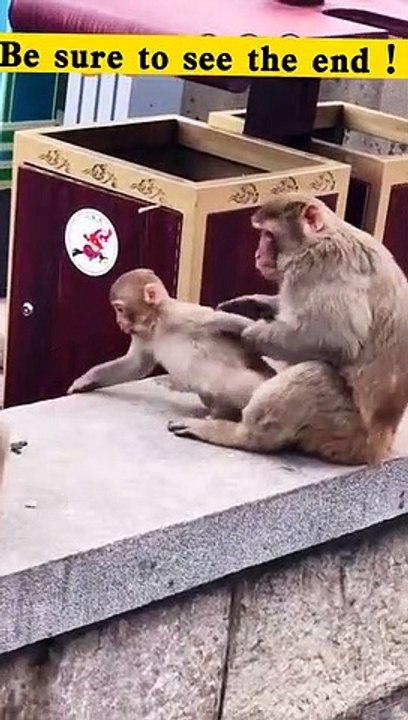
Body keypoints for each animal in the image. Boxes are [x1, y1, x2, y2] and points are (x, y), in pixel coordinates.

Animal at [67, 268, 275, 420]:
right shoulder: (144, 336)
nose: (119, 322)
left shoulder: (179, 313)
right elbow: (136, 365)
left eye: (119, 309)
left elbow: (229, 322)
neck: (156, 321)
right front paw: (87, 379)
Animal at [168, 194, 408, 466]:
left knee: (312, 372)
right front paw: (254, 305)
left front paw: (243, 327)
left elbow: (335, 341)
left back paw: (240, 435)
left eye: (268, 235)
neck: (322, 236)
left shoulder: (321, 265)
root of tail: (377, 446)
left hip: (341, 429)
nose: (257, 254)